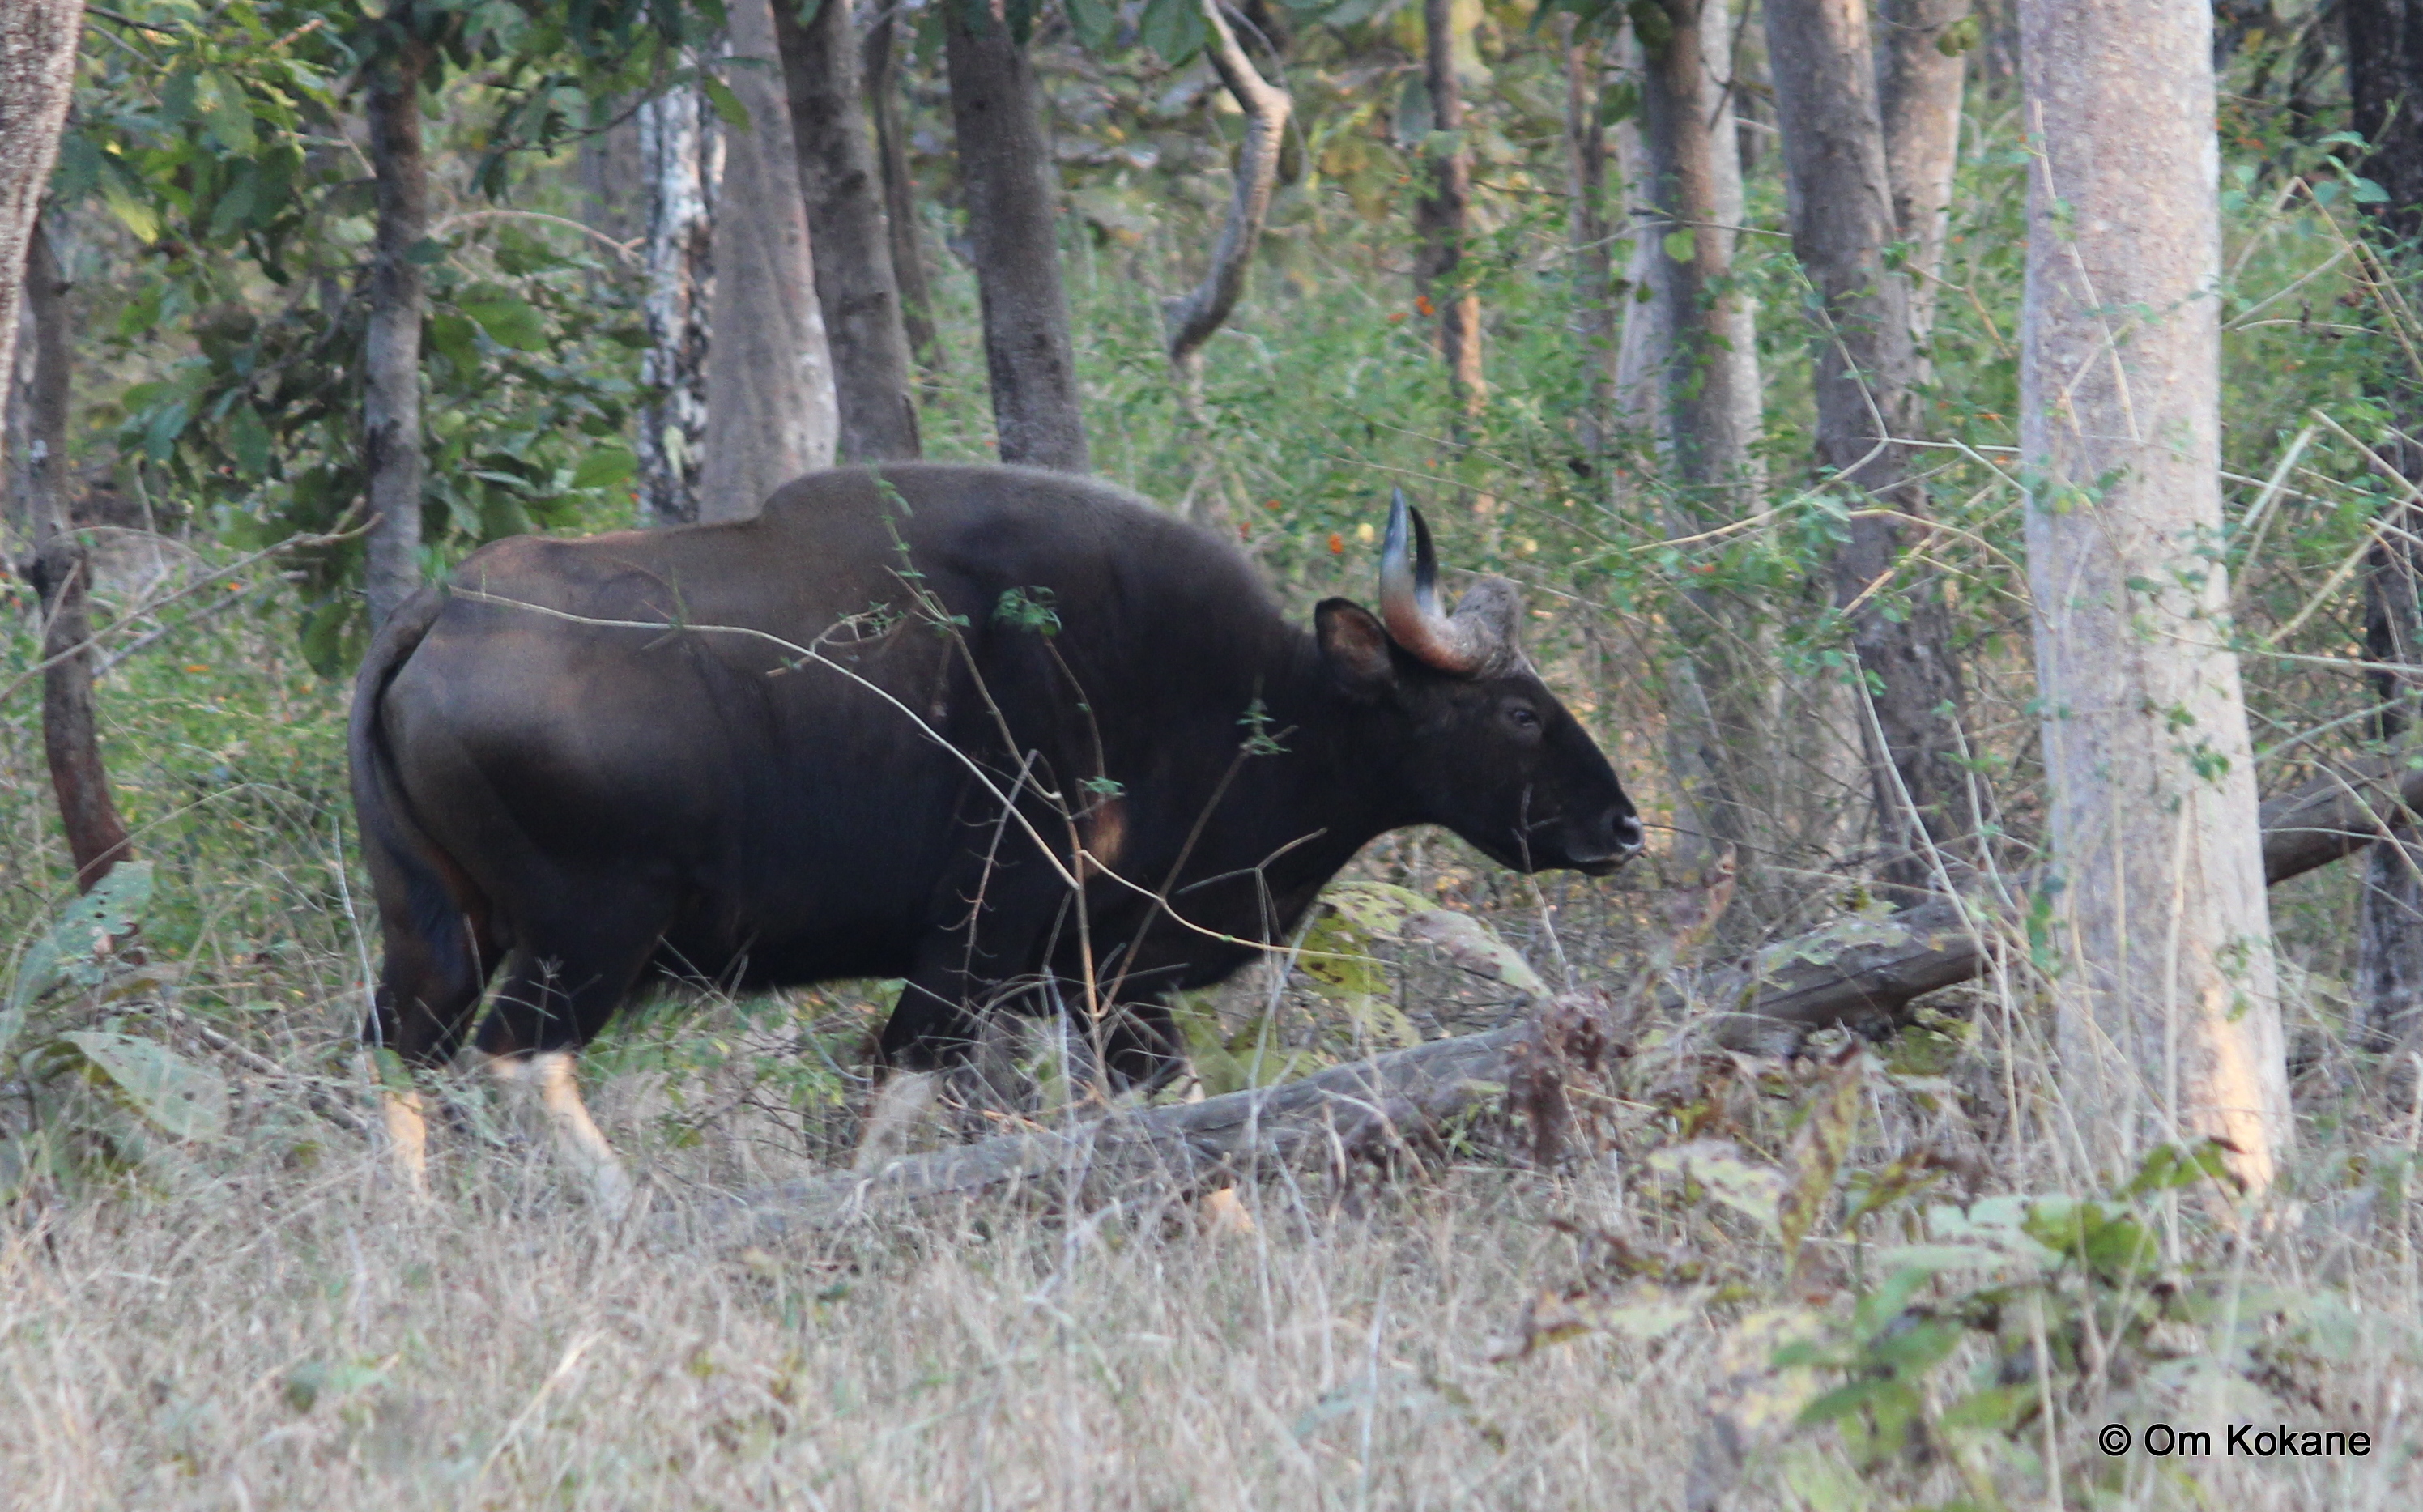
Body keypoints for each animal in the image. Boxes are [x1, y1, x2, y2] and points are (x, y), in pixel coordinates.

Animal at [353, 467, 1647, 1197]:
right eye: (1518, 711)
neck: (1221, 704)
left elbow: (1171, 1121)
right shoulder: (976, 948)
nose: (1624, 825)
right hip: (592, 931)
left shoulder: (1105, 979)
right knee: (520, 1056)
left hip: (433, 929)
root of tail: (442, 611)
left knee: (394, 1056)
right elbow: (899, 1101)